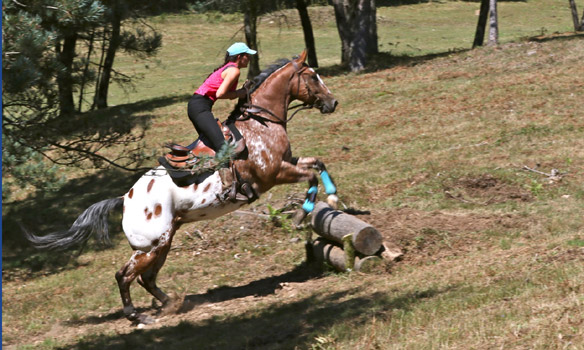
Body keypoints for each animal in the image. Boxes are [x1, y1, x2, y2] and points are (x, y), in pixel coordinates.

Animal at [25, 50, 340, 326]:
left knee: (146, 278)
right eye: (313, 77)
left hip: (164, 241)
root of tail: (124, 199)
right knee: (124, 275)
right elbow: (310, 177)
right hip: (150, 245)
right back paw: (138, 316)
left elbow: (318, 164)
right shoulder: (272, 173)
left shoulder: (288, 162)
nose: (333, 103)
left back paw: (173, 303)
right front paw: (301, 215)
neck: (260, 123)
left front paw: (335, 198)